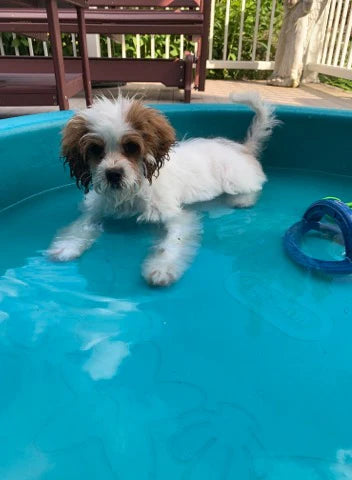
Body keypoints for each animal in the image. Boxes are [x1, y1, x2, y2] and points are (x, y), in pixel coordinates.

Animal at [47, 93, 278, 284]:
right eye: (96, 149)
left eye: (131, 147)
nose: (113, 174)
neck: (130, 193)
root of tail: (243, 149)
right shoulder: (98, 207)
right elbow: (81, 225)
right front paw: (67, 245)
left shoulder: (176, 217)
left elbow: (171, 245)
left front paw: (162, 268)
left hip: (236, 181)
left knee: (252, 188)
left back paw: (243, 201)